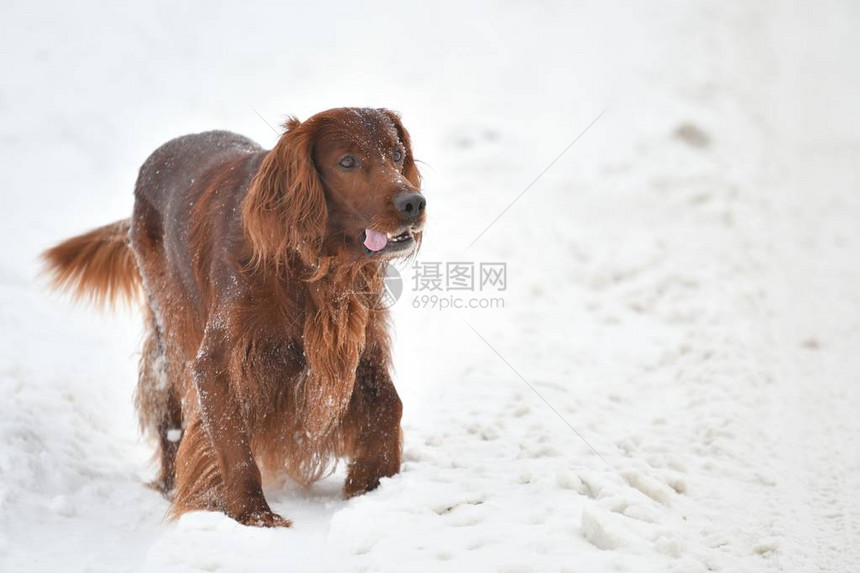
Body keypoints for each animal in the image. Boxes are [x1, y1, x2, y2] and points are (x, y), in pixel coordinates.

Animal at [43, 107, 426, 528]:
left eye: (396, 154)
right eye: (347, 162)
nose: (413, 203)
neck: (307, 264)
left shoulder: (357, 339)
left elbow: (390, 405)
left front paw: (374, 484)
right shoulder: (219, 359)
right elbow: (233, 442)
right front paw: (253, 515)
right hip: (171, 325)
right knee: (168, 404)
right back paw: (170, 484)